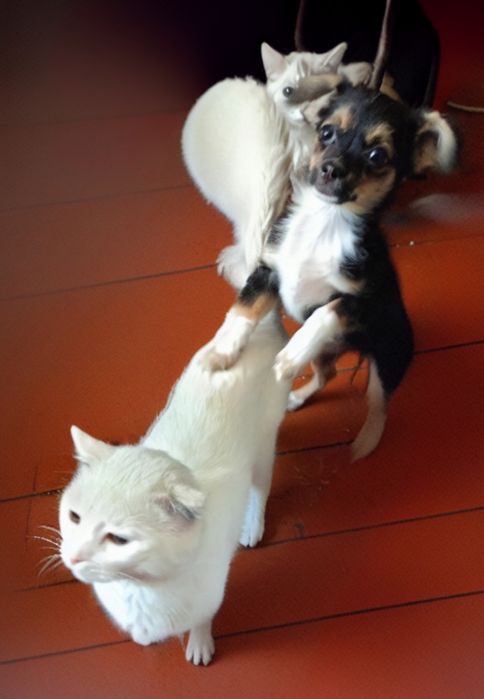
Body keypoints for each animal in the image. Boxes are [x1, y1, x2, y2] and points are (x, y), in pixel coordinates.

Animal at [59, 312, 291, 665]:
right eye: (74, 517)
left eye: (119, 539)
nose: (72, 556)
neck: (138, 587)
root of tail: (261, 328)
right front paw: (144, 638)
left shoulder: (211, 593)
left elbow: (202, 619)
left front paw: (200, 643)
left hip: (265, 445)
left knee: (260, 489)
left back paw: (252, 525)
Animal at [203, 83, 458, 460]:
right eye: (326, 133)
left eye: (377, 156)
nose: (330, 169)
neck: (324, 221)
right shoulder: (268, 272)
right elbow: (243, 311)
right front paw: (221, 351)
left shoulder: (366, 299)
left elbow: (327, 310)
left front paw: (291, 353)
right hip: (324, 354)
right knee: (329, 373)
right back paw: (297, 396)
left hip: (386, 363)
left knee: (379, 404)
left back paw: (365, 441)